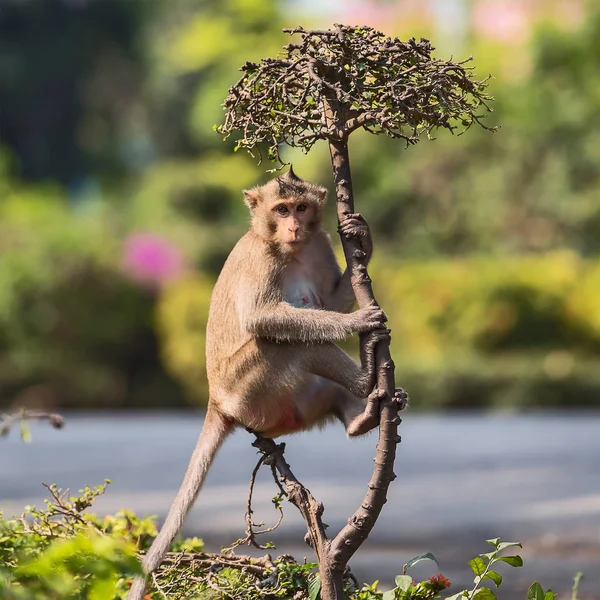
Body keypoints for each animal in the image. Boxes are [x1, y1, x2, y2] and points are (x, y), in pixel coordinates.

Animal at [126, 168, 390, 600]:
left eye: (300, 207)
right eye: (280, 209)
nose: (294, 225)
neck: (288, 248)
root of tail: (217, 402)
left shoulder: (319, 245)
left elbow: (329, 301)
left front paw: (362, 239)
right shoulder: (261, 258)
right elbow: (261, 317)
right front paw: (357, 322)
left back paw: (361, 417)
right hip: (247, 389)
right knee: (285, 342)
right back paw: (368, 376)